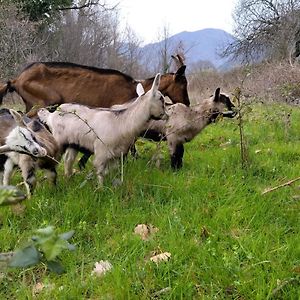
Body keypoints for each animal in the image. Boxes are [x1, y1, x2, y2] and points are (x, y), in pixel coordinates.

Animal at [38, 72, 166, 185]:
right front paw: (100, 189)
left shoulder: (116, 155)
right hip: (58, 141)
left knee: (68, 161)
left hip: (73, 144)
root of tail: (51, 116)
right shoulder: (101, 152)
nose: (166, 115)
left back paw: (68, 181)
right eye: (161, 98)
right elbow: (100, 172)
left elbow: (111, 172)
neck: (122, 121)